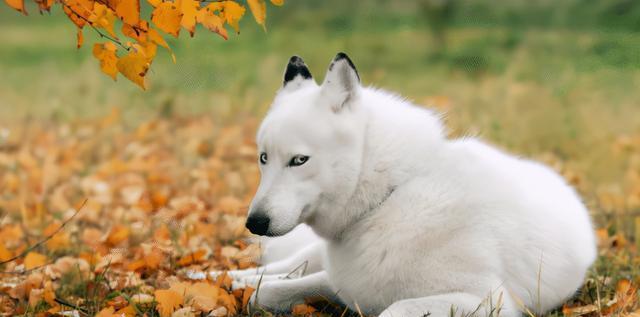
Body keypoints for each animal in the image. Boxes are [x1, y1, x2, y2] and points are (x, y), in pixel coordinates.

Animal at [201, 53, 600, 314]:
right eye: (263, 158)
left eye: (299, 160)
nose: (254, 223)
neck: (389, 197)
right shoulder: (342, 281)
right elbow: (263, 295)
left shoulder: (486, 301)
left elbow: (391, 310)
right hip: (311, 256)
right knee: (273, 270)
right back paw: (215, 277)